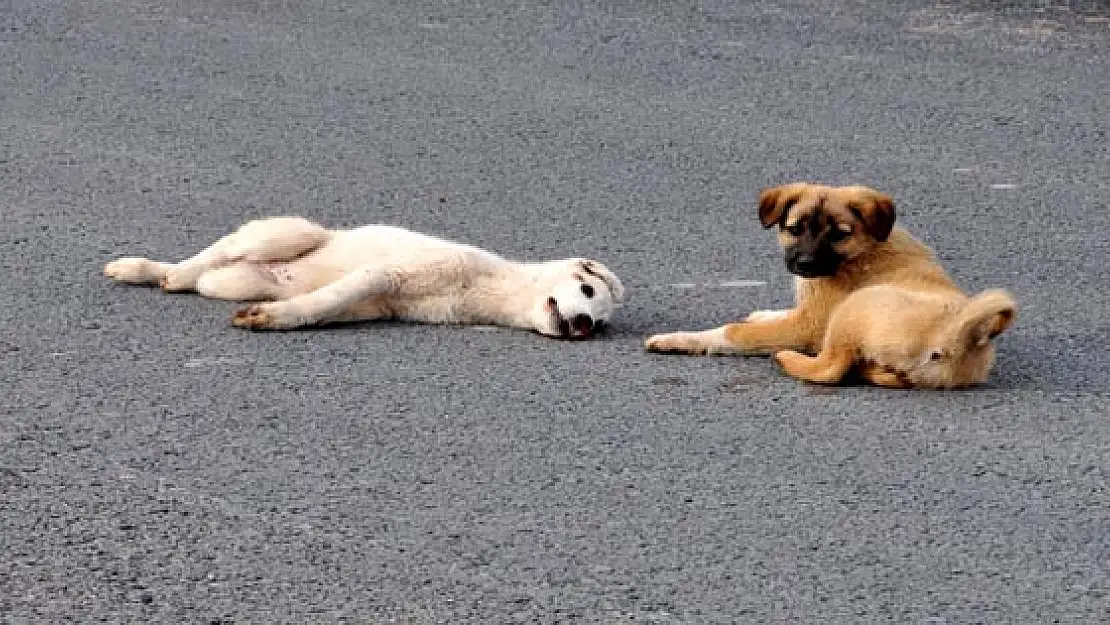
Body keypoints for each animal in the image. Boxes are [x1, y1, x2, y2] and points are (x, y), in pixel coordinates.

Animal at [648, 180, 1016, 388]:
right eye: (795, 229)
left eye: (839, 234)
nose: (806, 265)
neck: (864, 248)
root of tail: (959, 335)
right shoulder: (809, 311)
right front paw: (762, 313)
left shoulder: (809, 325)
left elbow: (733, 332)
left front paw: (678, 339)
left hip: (853, 310)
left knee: (831, 368)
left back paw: (787, 359)